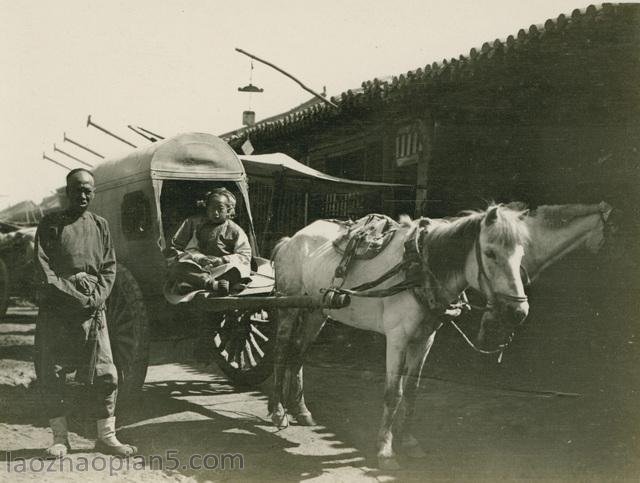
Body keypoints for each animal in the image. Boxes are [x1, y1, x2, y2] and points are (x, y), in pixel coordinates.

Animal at [268, 203, 528, 468]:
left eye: (521, 255)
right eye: (490, 253)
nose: (518, 312)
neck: (420, 270)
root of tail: (292, 239)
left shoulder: (425, 340)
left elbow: (412, 391)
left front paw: (409, 441)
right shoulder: (397, 338)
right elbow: (394, 393)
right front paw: (385, 449)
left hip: (317, 311)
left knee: (299, 352)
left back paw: (301, 410)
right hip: (289, 306)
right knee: (281, 352)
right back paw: (278, 411)